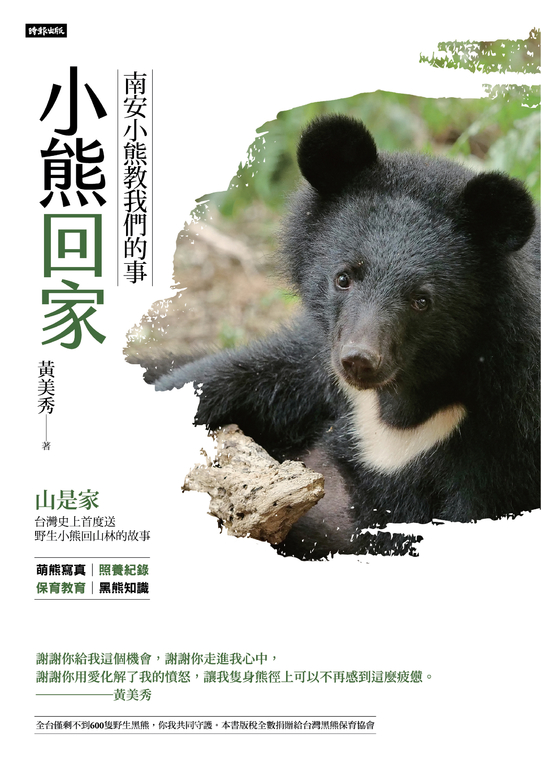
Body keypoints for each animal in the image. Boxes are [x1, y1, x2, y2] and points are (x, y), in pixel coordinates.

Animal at [153, 114, 540, 559]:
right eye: (344, 278)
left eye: (422, 300)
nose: (359, 360)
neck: (399, 401)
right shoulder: (313, 363)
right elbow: (219, 379)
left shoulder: (504, 439)